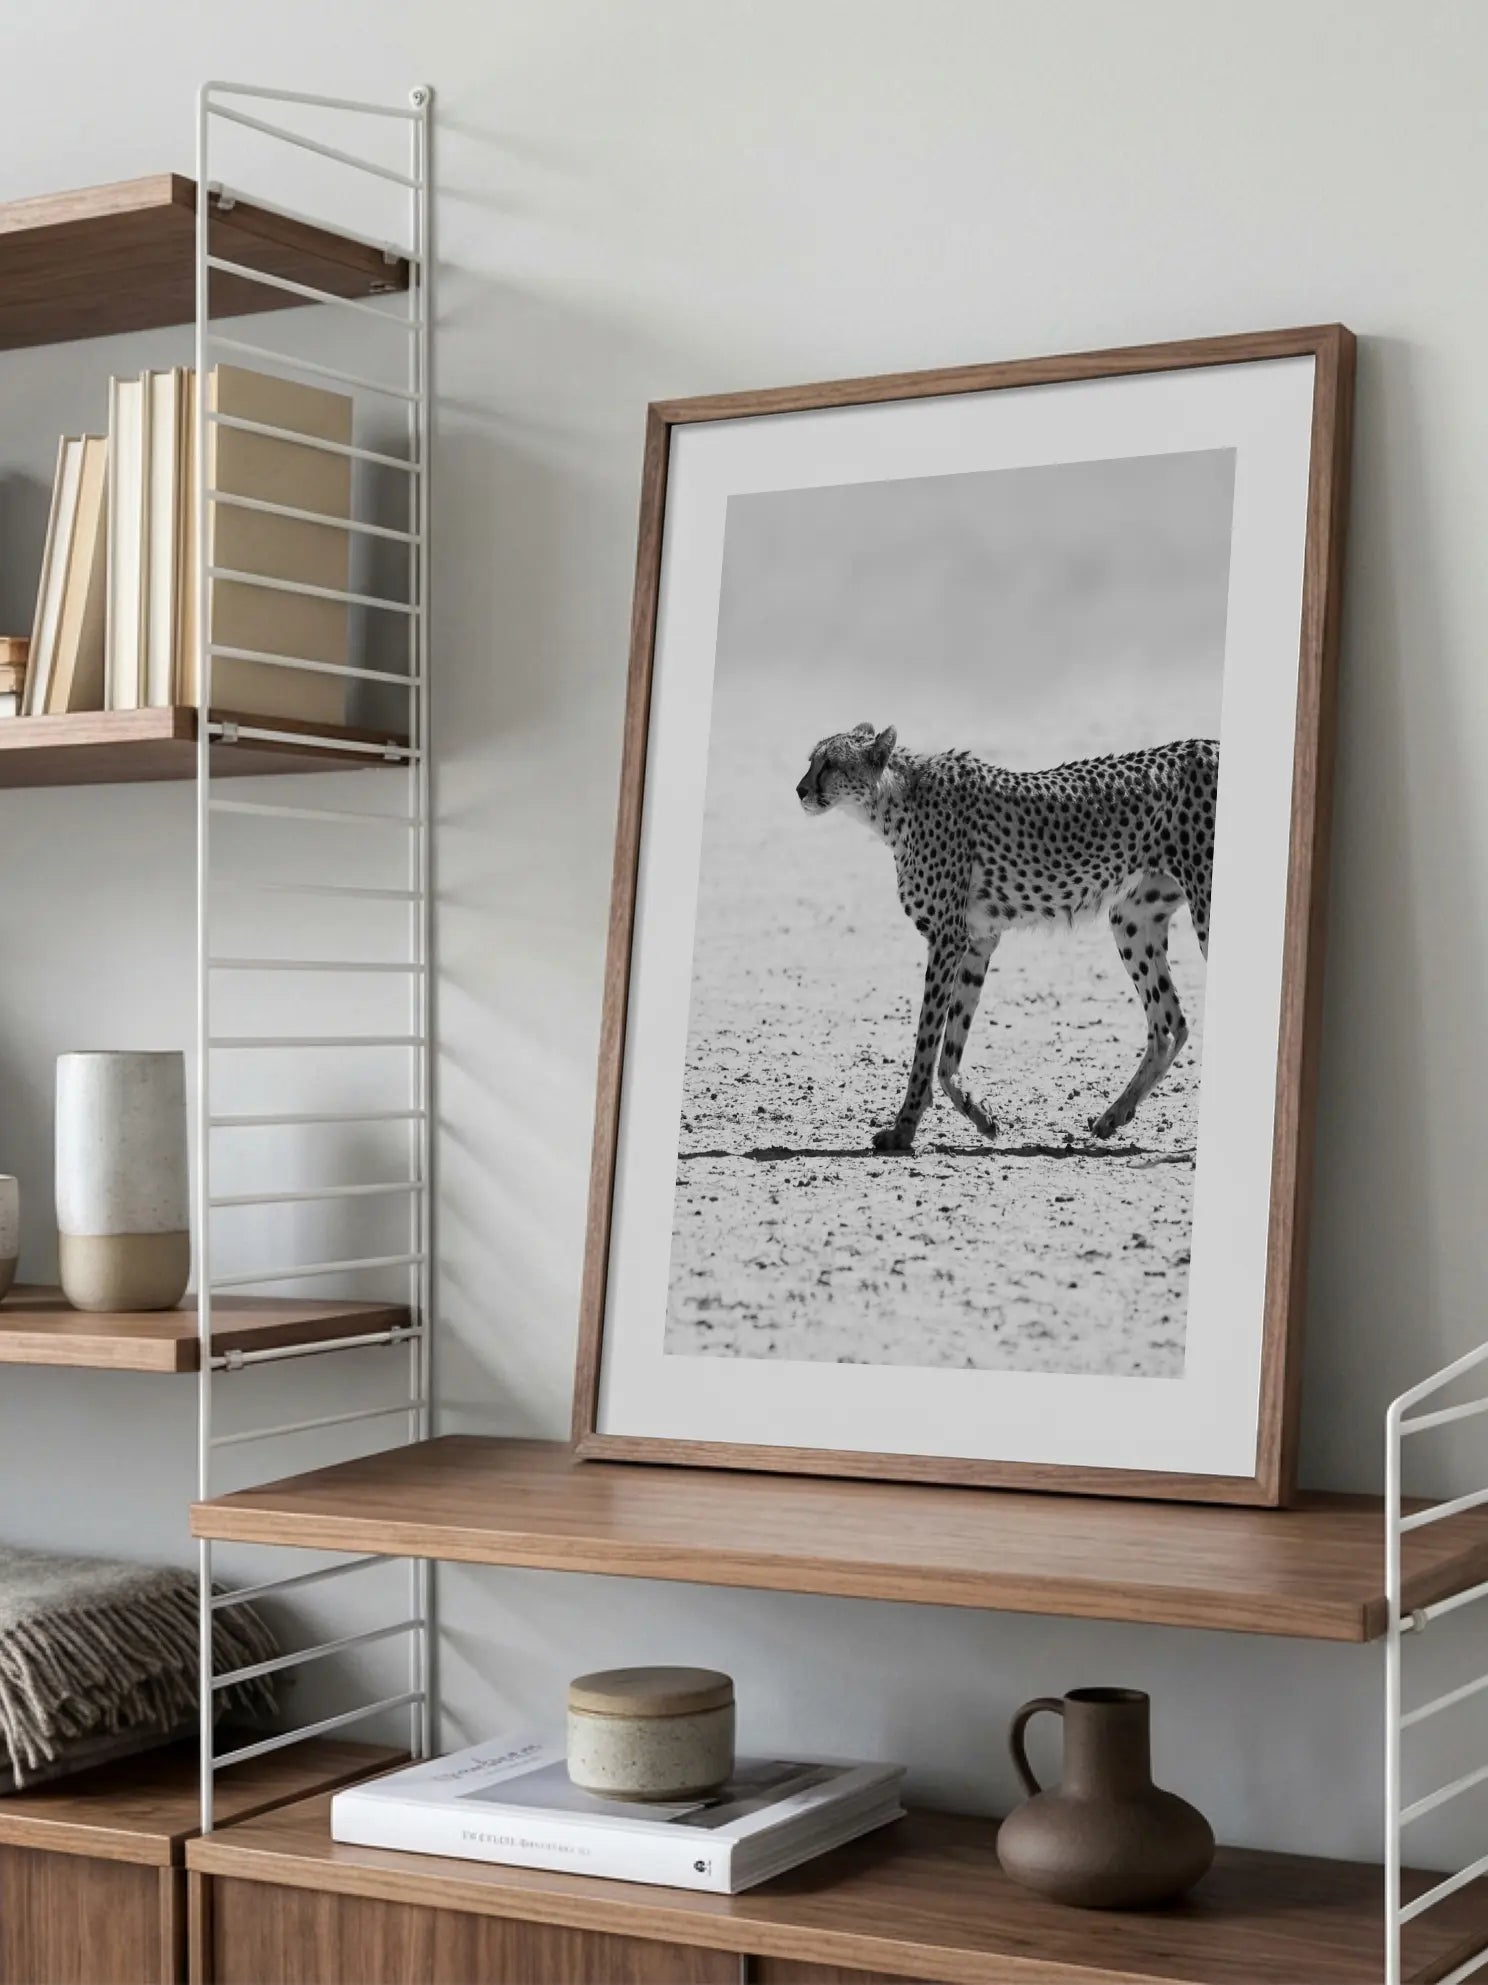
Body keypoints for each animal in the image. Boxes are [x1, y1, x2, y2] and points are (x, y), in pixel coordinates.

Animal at [796, 723, 1218, 1151]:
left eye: (829, 763)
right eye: (812, 760)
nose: (799, 790)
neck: (895, 798)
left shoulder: (947, 938)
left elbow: (926, 1043)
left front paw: (904, 1128)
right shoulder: (977, 940)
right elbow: (950, 1047)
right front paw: (979, 1114)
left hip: (1204, 910)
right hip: (1131, 917)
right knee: (1170, 1024)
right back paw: (1113, 1116)